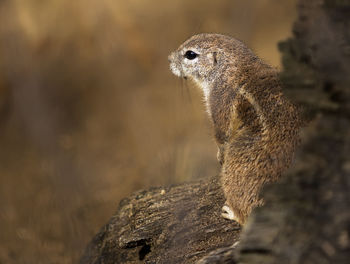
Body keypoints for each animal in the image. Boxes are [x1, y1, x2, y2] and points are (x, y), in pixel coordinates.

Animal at [168, 33, 300, 225]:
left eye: (190, 54)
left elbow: (221, 133)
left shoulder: (219, 99)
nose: (169, 60)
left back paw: (231, 213)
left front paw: (219, 155)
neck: (234, 64)